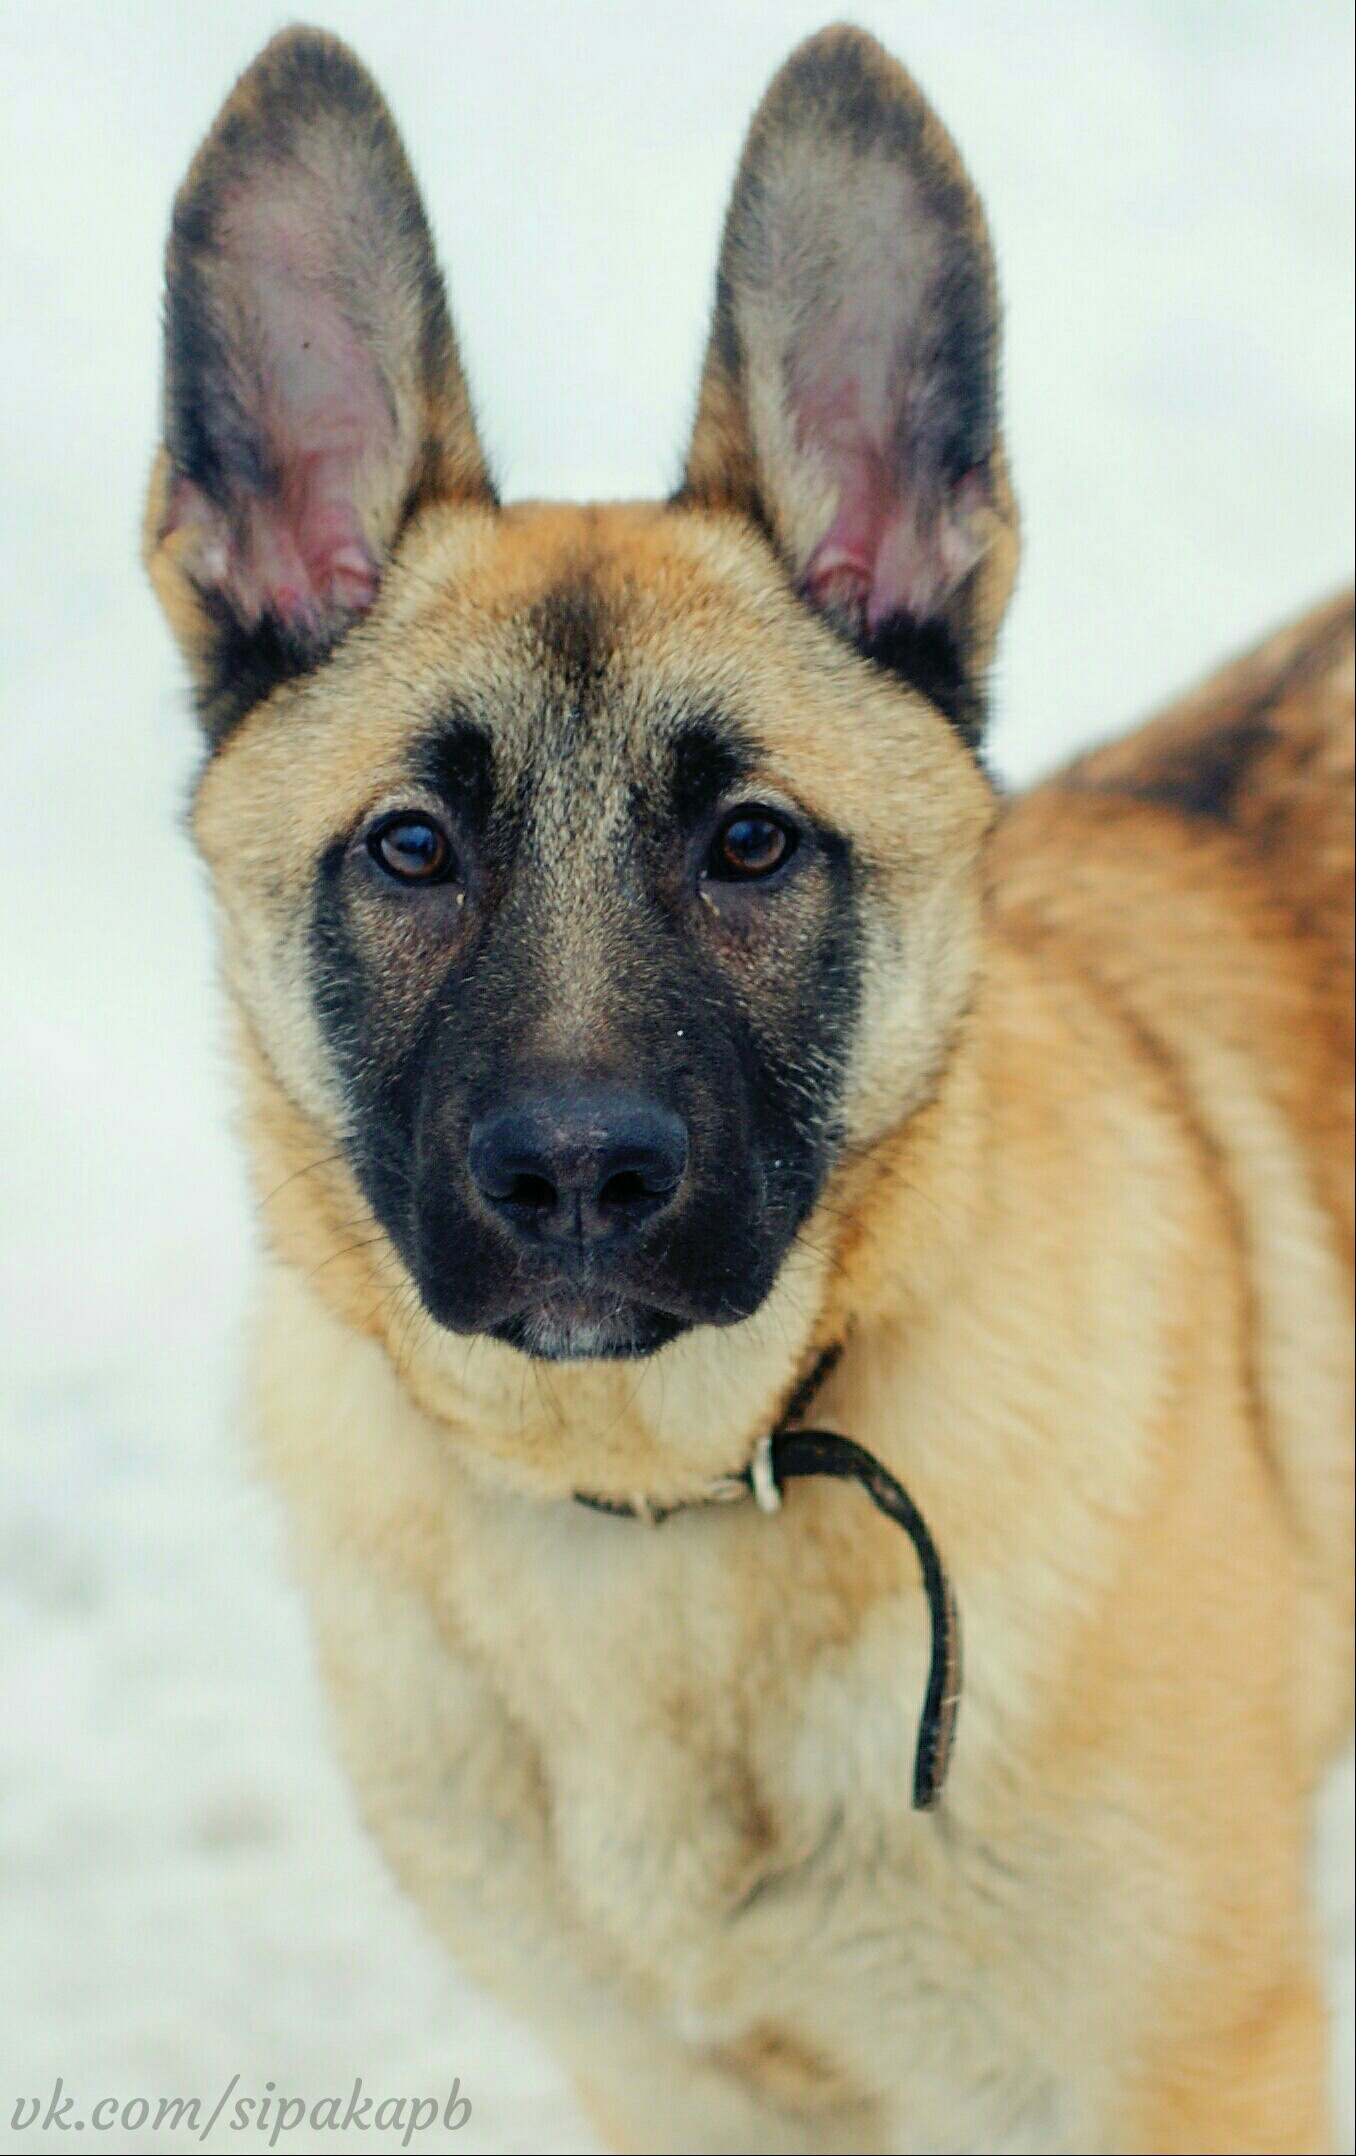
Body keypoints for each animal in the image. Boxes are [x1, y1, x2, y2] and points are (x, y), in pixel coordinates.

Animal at [142, 21, 1345, 2156]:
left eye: (755, 844)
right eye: (411, 850)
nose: (577, 1182)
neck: (653, 1503)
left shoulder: (1202, 2073)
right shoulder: (677, 2085)